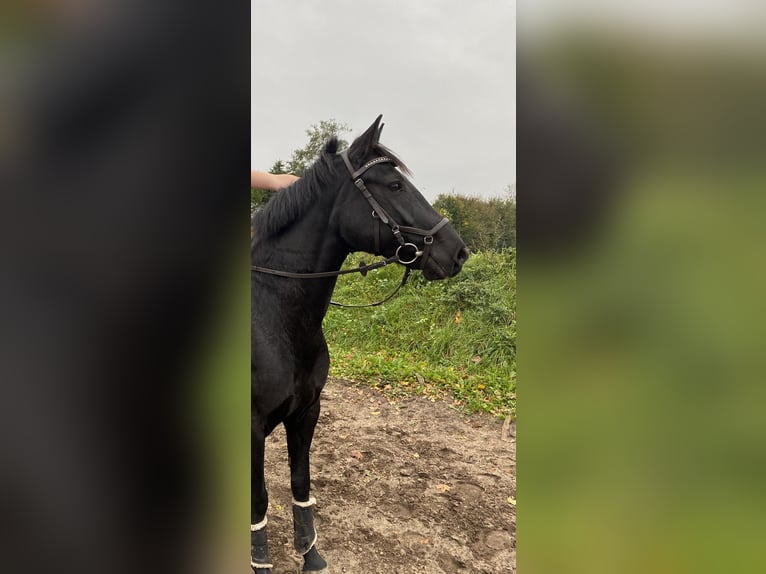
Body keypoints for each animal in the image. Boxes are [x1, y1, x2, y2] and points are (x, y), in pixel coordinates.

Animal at [252, 116, 468, 572]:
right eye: (394, 185)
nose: (458, 252)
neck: (275, 319)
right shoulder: (252, 426)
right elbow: (259, 499)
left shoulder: (307, 413)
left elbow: (301, 482)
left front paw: (311, 554)